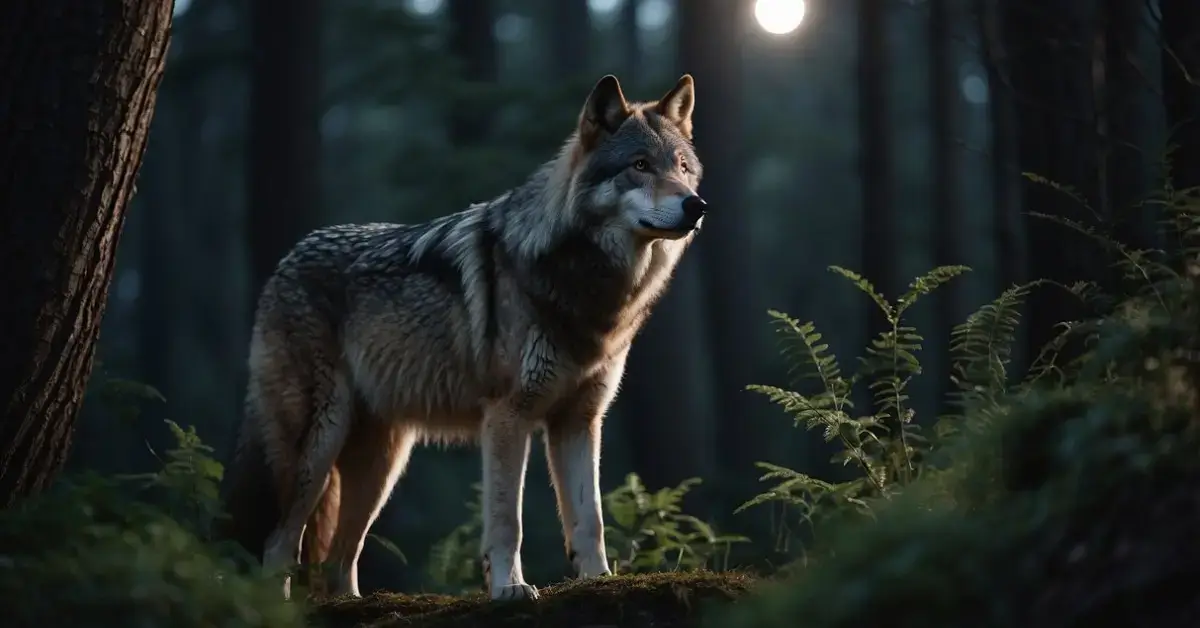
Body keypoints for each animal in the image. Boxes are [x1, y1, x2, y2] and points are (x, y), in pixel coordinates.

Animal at [220, 73, 707, 601]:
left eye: (682, 168)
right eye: (640, 166)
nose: (697, 204)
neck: (583, 283)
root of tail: (285, 262)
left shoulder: (579, 419)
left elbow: (589, 520)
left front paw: (600, 581)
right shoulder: (508, 416)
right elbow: (507, 521)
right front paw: (510, 589)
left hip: (383, 463)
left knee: (338, 556)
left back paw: (351, 601)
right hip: (319, 441)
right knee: (279, 542)